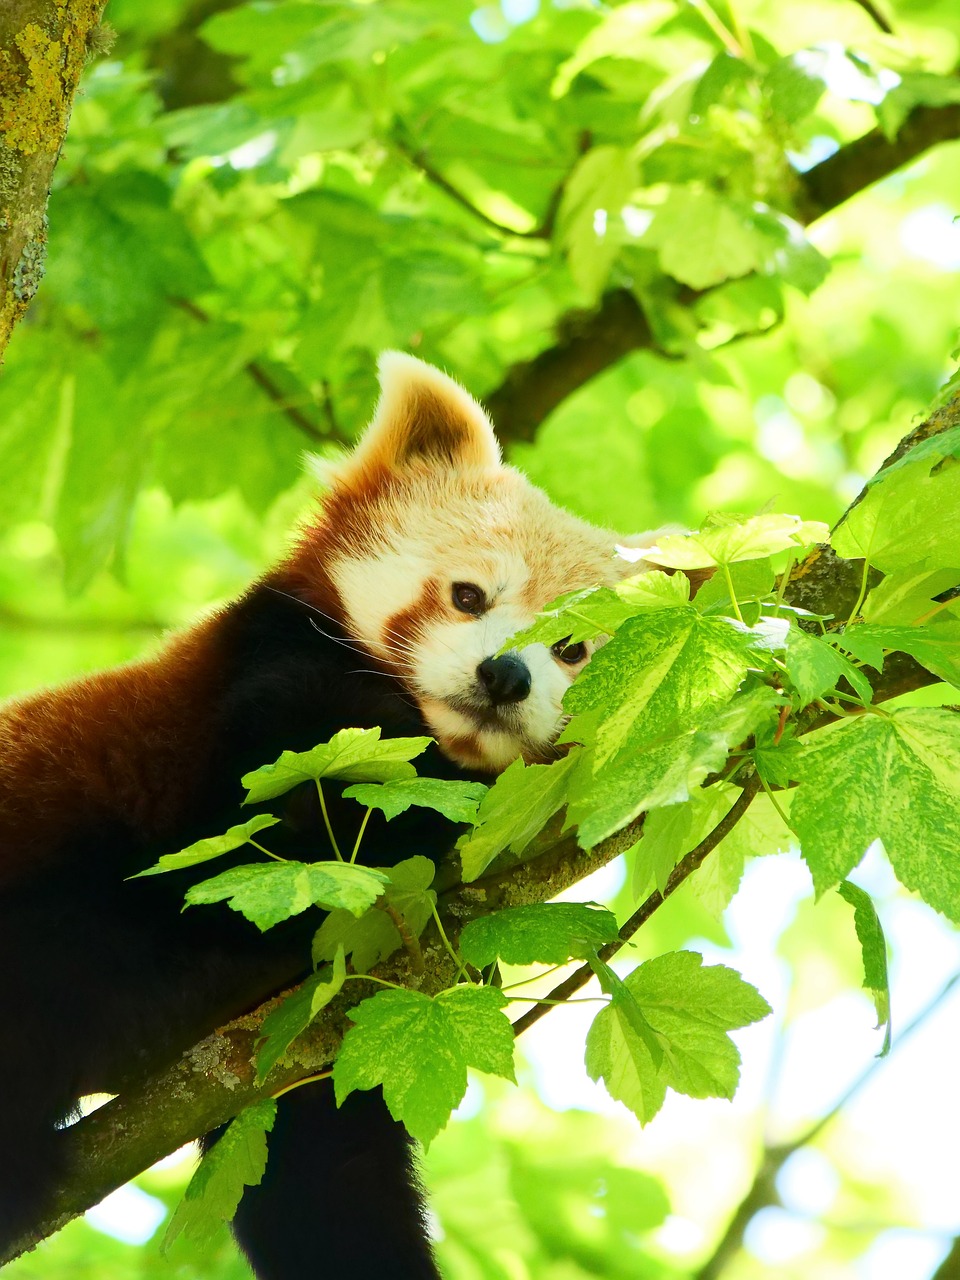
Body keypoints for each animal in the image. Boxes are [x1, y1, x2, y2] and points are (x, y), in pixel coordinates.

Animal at [0, 353, 660, 1280]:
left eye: (572, 650)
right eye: (467, 596)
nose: (504, 677)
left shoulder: (311, 1033)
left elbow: (326, 1180)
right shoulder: (256, 714)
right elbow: (276, 840)